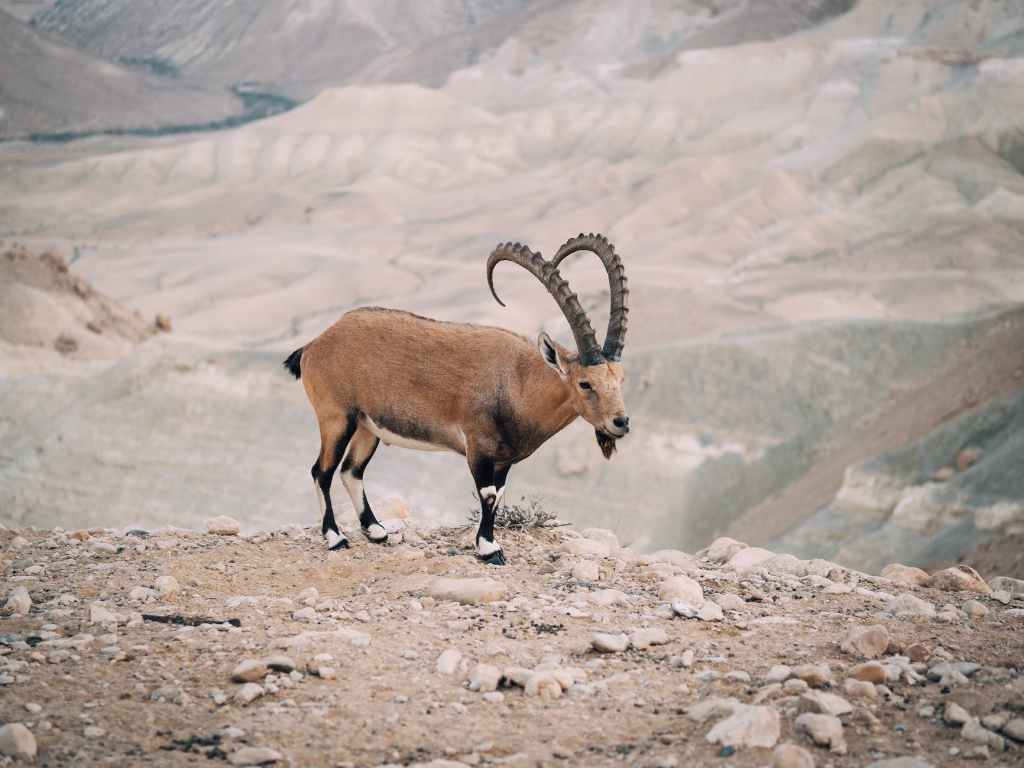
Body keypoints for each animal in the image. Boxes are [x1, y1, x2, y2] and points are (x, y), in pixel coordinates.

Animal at [283, 233, 629, 564]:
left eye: (621, 378)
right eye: (585, 383)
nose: (621, 422)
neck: (517, 382)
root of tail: (314, 345)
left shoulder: (503, 458)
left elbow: (499, 494)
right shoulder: (477, 447)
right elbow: (487, 494)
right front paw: (490, 550)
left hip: (368, 427)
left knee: (351, 470)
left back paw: (376, 530)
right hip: (336, 417)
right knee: (322, 471)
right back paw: (335, 538)